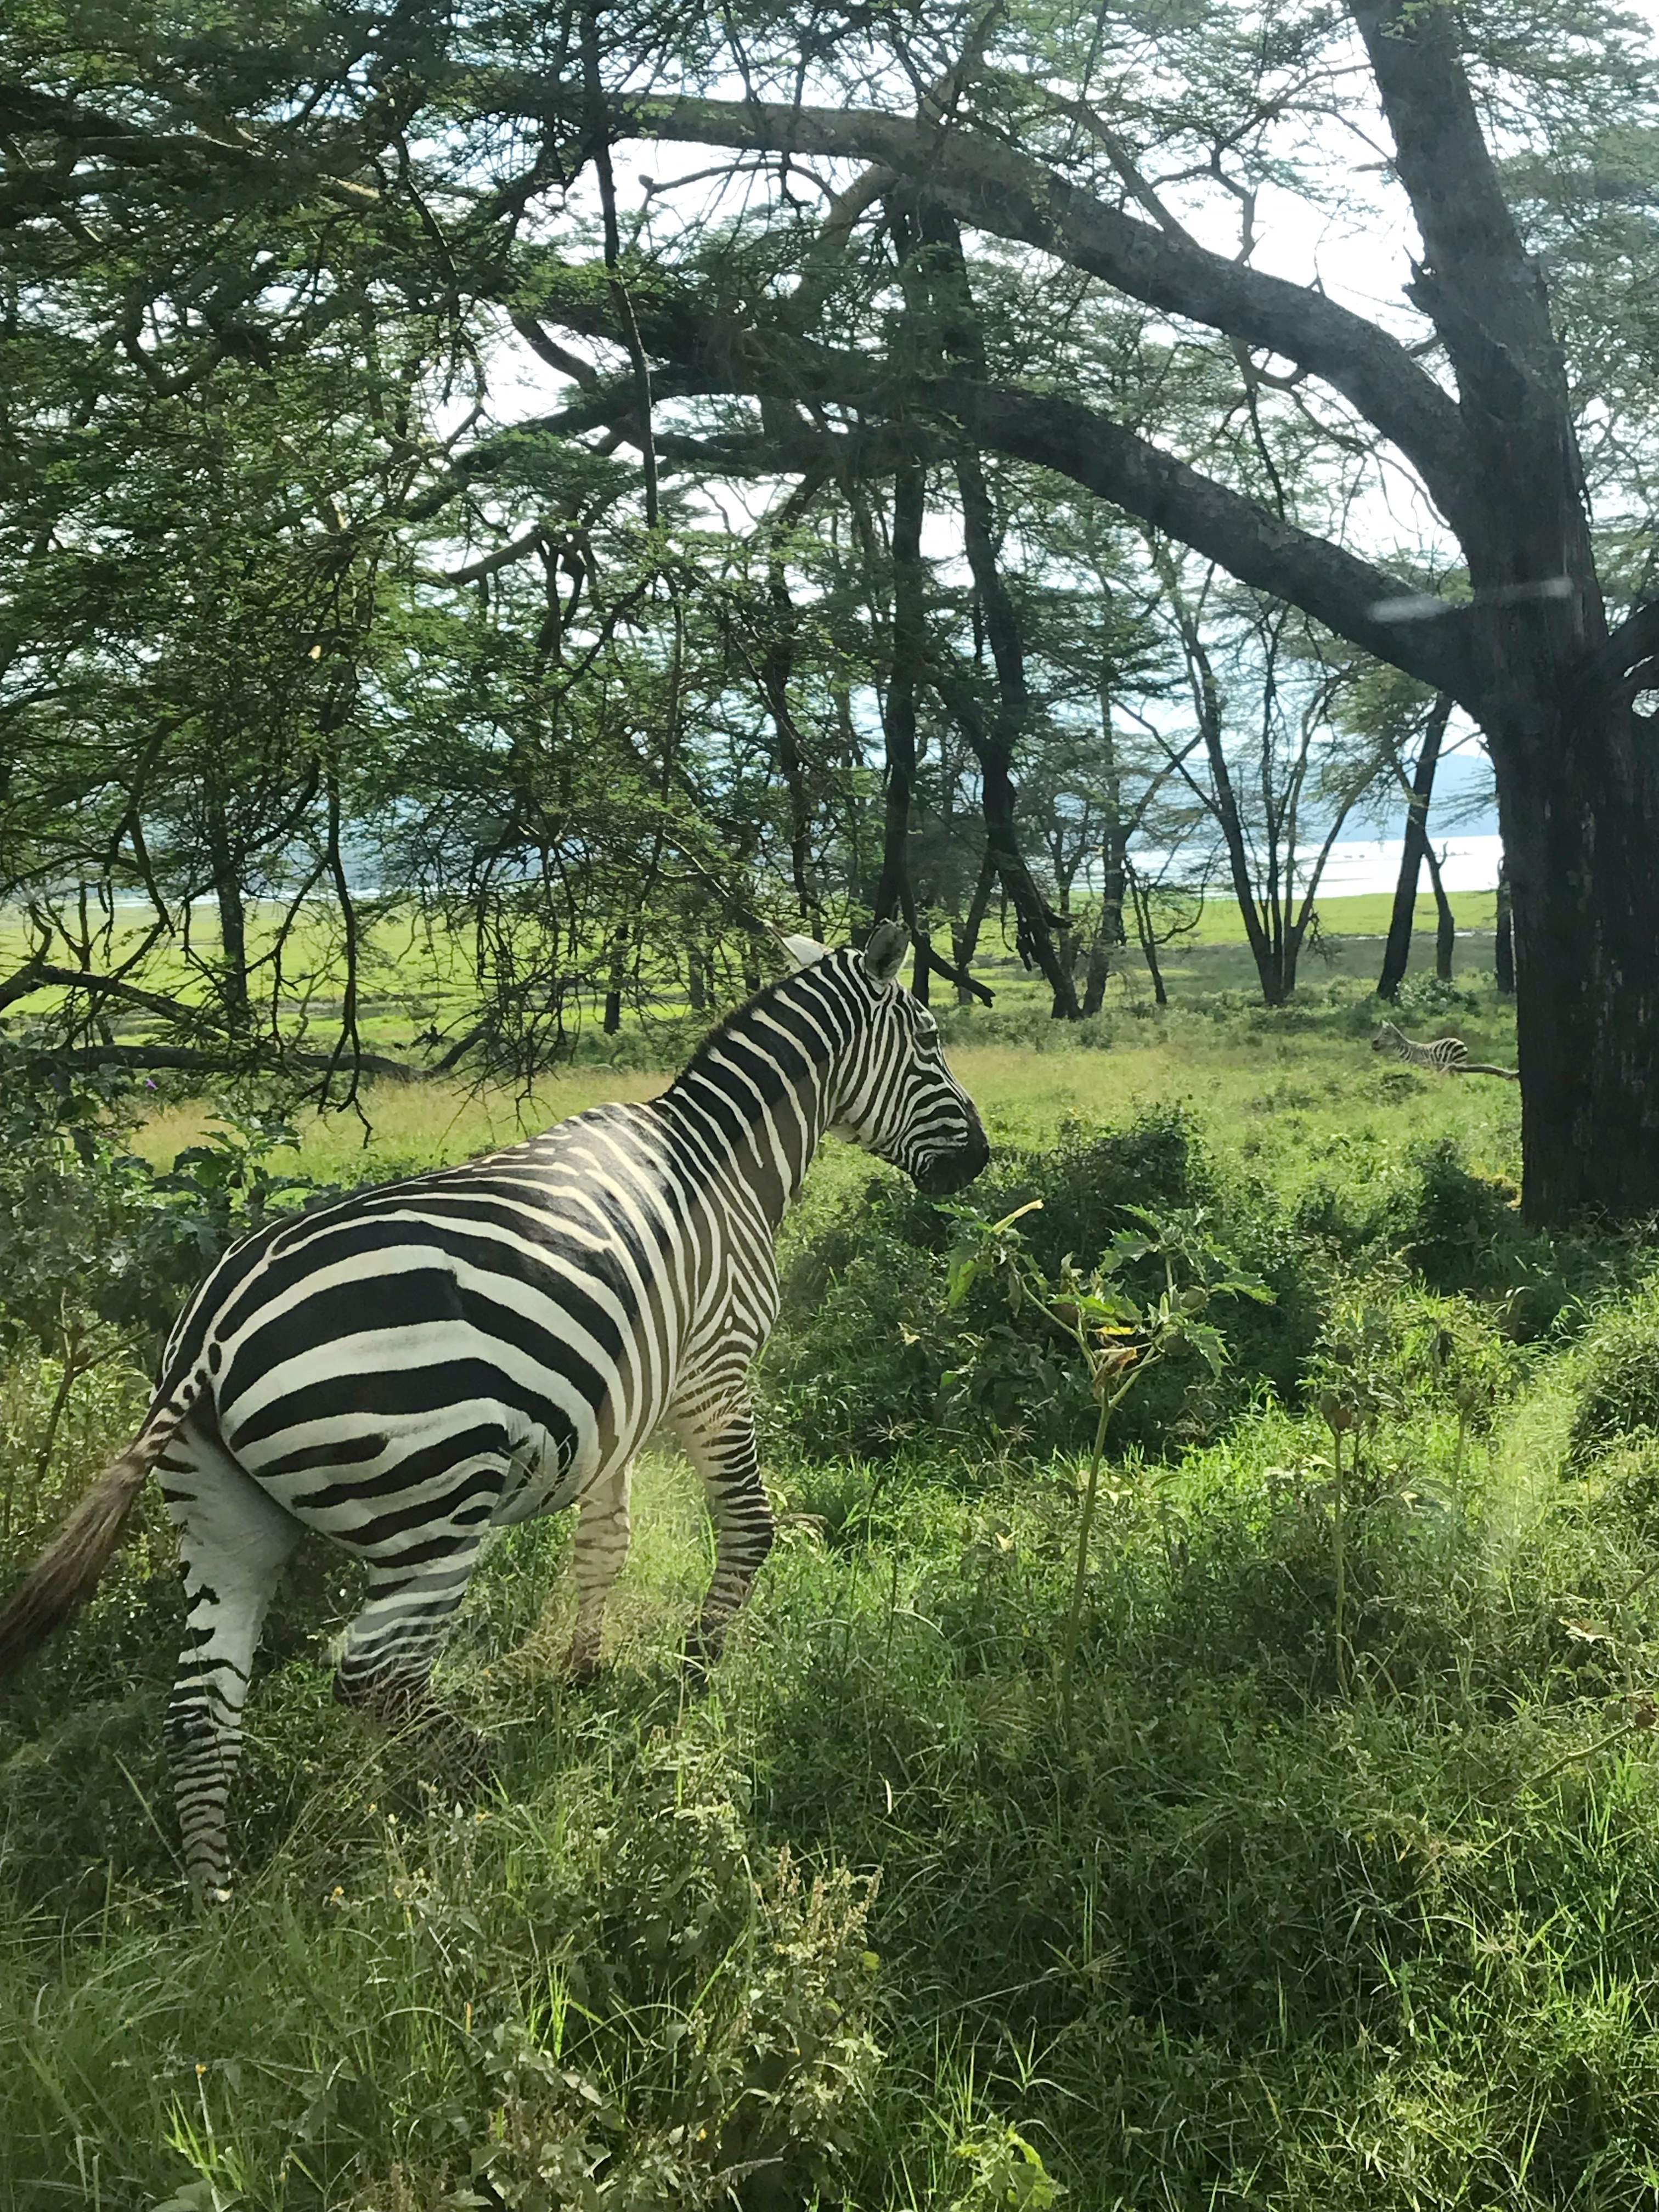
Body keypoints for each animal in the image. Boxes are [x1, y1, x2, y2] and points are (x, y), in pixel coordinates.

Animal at [0, 923, 988, 1902]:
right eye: (932, 1037)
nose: (978, 1161)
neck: (722, 1157)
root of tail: (211, 1328)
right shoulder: (716, 1371)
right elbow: (750, 1525)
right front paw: (694, 1669)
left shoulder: (619, 1404)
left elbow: (603, 1546)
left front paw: (586, 1670)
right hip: (430, 1510)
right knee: (372, 1672)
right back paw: (484, 1777)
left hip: (222, 1520)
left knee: (202, 1708)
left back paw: (218, 1901)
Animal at [1372, 1019, 1519, 1080]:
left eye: (1386, 1033)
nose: (1374, 1044)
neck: (1408, 1051)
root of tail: (1460, 1041)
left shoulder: (1422, 1066)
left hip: (1457, 1064)